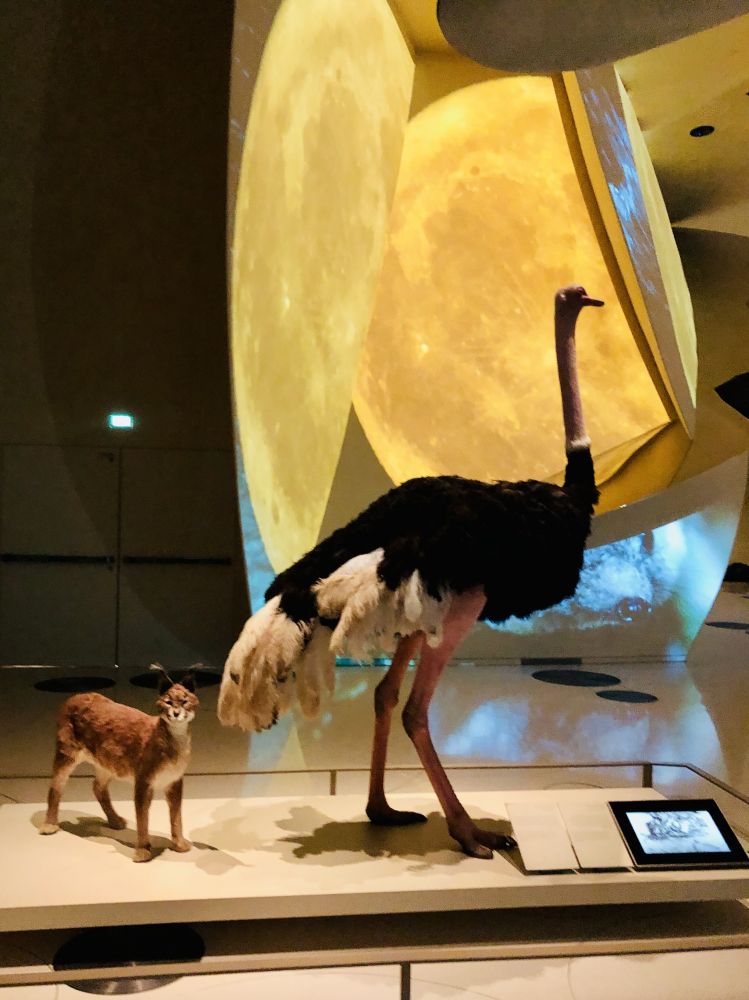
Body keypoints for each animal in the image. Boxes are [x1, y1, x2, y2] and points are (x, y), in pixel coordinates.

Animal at [40, 664, 200, 863]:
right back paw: (49, 824)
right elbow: (142, 817)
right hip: (67, 753)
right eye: (168, 702)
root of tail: (76, 695)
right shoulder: (143, 781)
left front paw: (179, 844)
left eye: (185, 701)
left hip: (108, 761)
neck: (175, 736)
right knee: (56, 785)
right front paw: (143, 851)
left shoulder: (175, 781)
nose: (176, 713)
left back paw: (114, 820)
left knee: (97, 786)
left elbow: (176, 815)